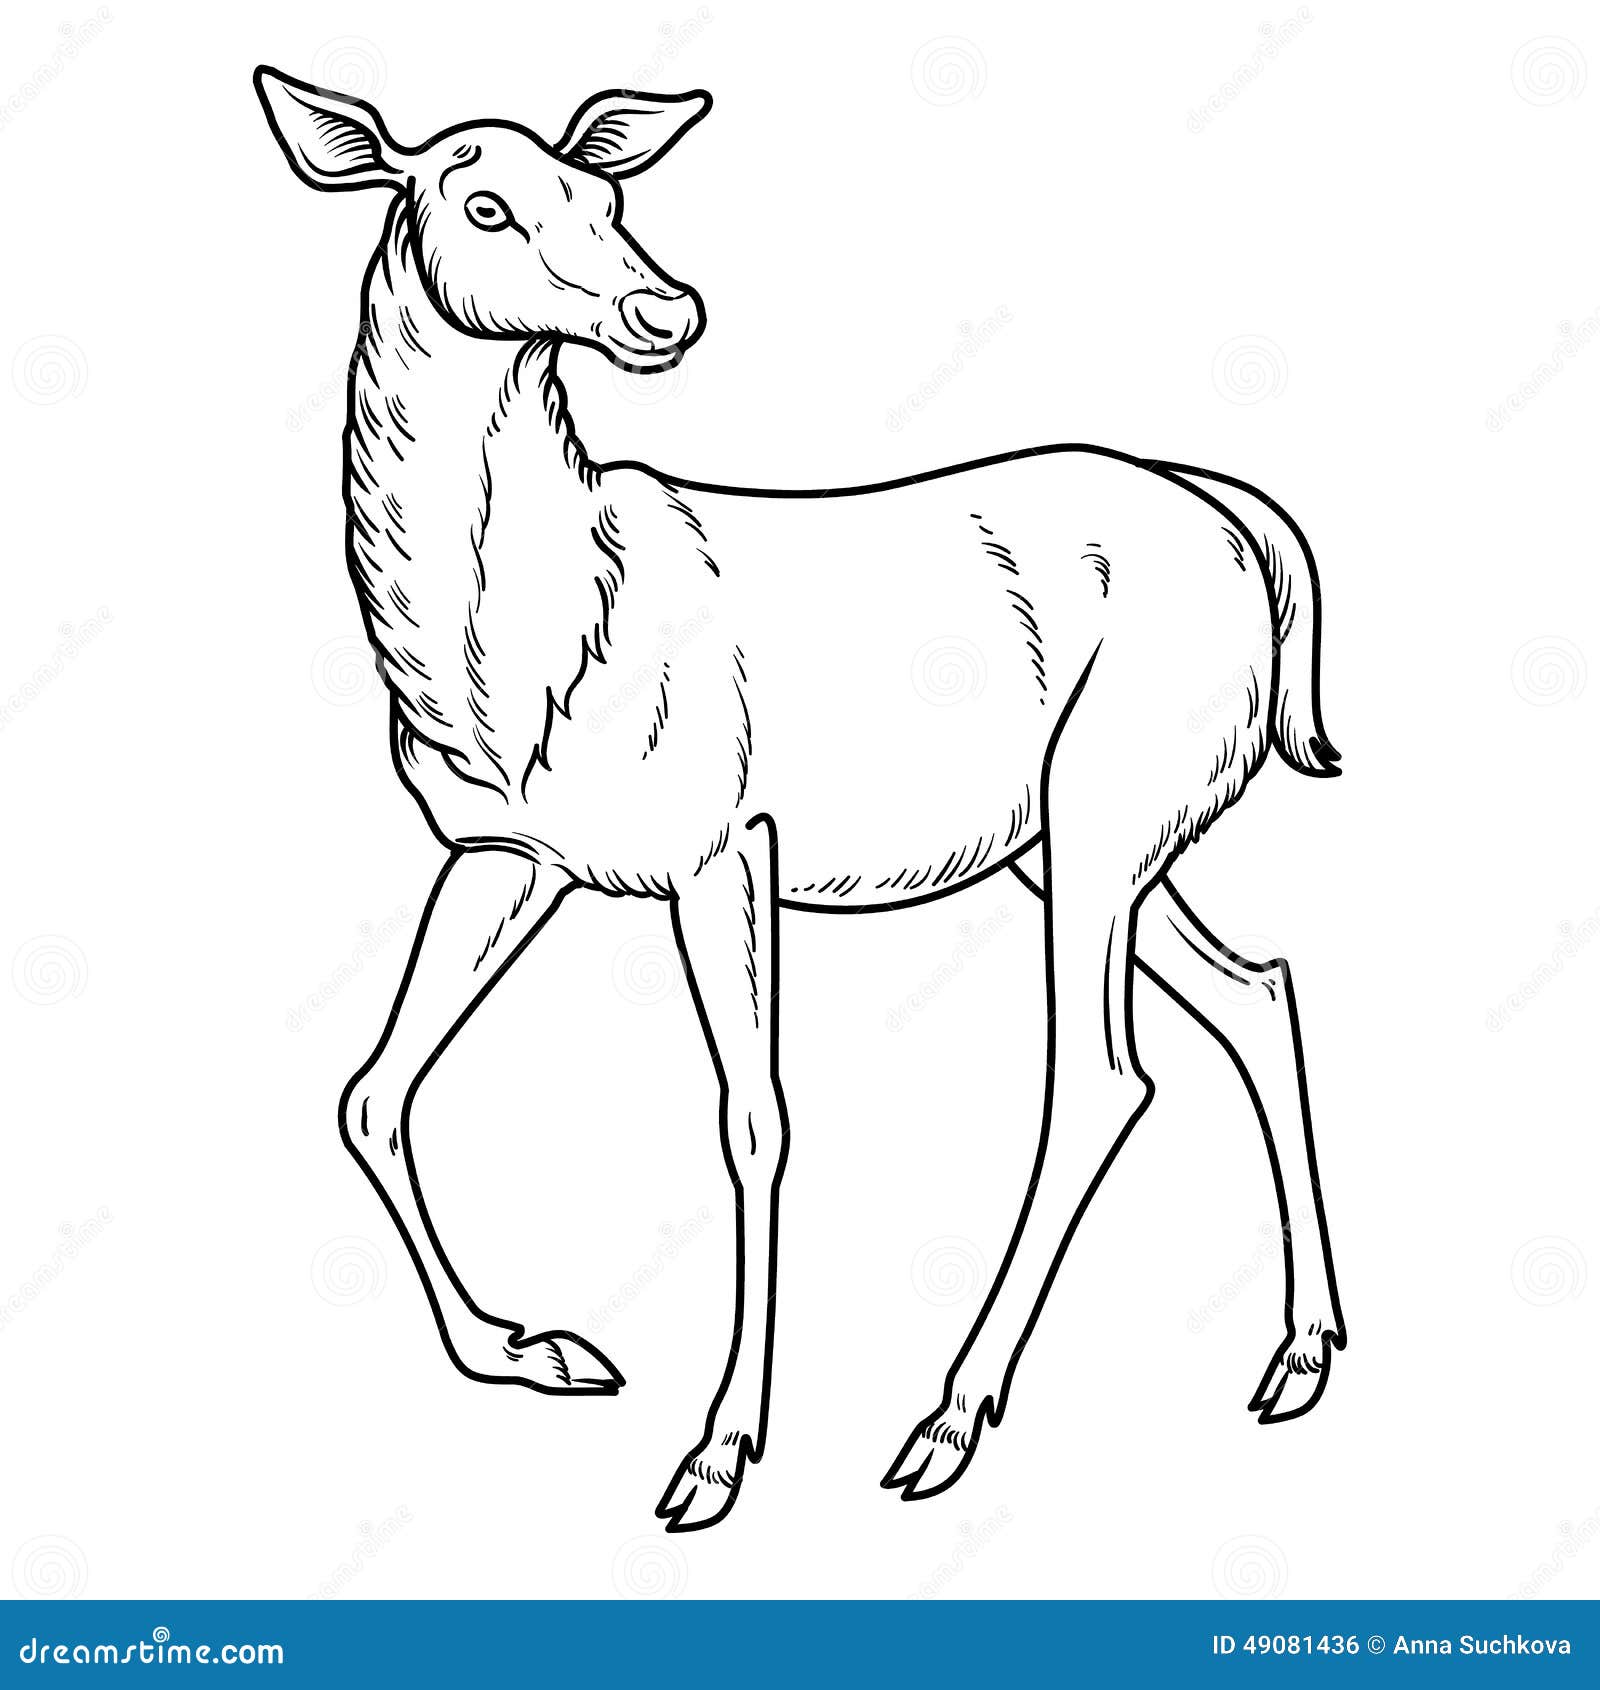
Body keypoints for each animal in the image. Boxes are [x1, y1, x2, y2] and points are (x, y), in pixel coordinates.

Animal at [255, 67, 1347, 1533]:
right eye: (483, 202)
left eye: (607, 194)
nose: (666, 310)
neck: (524, 655)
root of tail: (1250, 528)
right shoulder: (508, 853)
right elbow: (372, 1089)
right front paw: (536, 1348)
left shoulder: (721, 841)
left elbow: (754, 1118)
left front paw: (717, 1455)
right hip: (1077, 840)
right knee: (1254, 987)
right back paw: (1301, 1354)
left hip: (1108, 805)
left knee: (1101, 1073)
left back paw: (942, 1422)